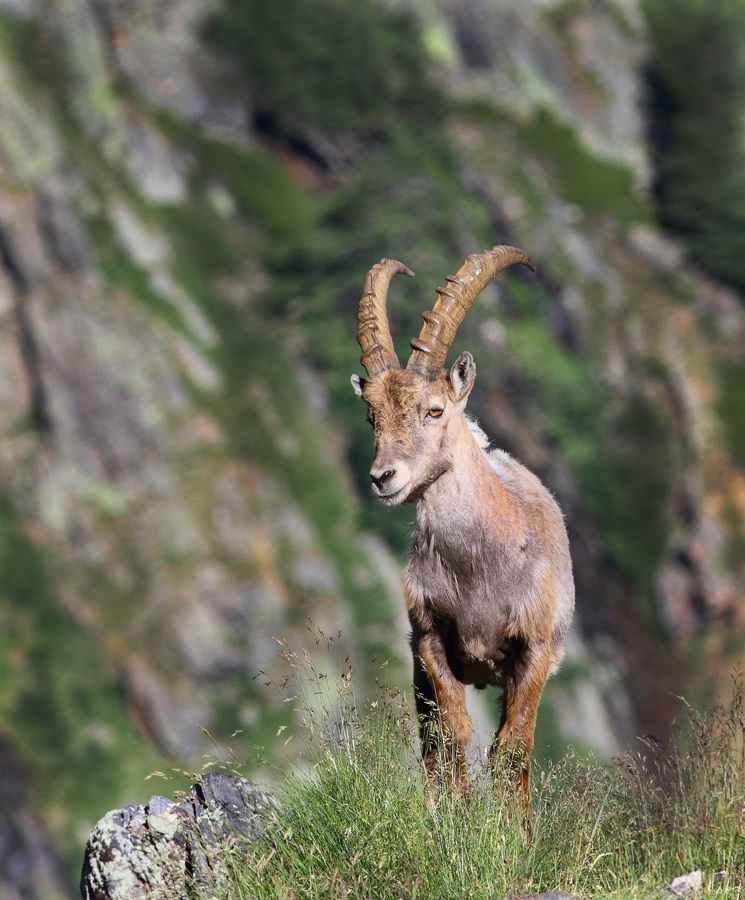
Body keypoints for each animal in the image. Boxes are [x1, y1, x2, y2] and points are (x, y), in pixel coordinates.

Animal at [351, 246, 575, 804]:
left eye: (434, 410)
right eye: (371, 416)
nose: (382, 477)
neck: (478, 570)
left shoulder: (534, 650)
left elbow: (512, 748)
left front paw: (508, 827)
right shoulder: (430, 640)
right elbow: (452, 736)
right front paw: (454, 815)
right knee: (431, 742)